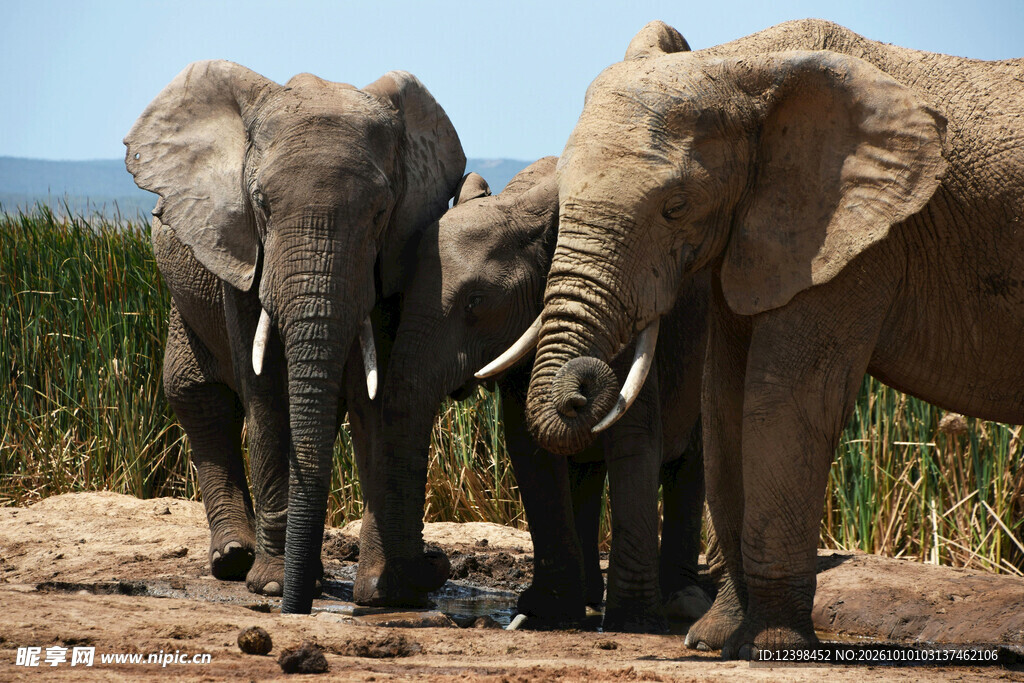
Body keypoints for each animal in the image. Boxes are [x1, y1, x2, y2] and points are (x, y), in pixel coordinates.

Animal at [124, 60, 465, 614]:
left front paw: (381, 593)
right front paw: (269, 585)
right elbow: (266, 393)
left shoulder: (394, 254)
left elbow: (376, 396)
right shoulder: (242, 251)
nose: (296, 606)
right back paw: (234, 560)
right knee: (197, 395)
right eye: (261, 204)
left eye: (380, 212)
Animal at [383, 156, 711, 631]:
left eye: (475, 302)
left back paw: (683, 604)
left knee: (691, 460)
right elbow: (529, 446)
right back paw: (590, 600)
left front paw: (633, 622)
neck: (522, 205)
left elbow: (634, 438)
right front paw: (543, 614)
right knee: (585, 473)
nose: (433, 560)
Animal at [512, 19, 1024, 656]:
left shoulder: (852, 240)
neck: (742, 68)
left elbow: (782, 401)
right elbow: (725, 403)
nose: (583, 388)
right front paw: (711, 641)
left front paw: (771, 646)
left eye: (676, 207)